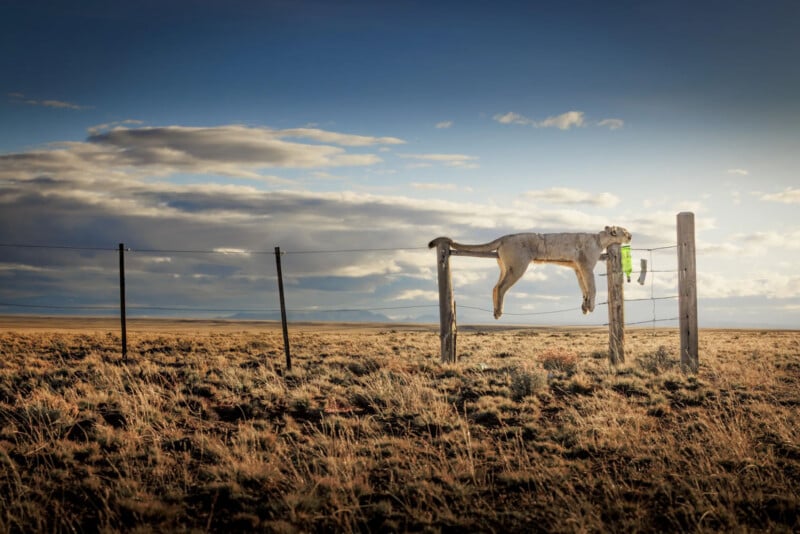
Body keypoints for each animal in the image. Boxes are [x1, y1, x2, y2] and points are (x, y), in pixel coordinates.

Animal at [429, 226, 632, 319]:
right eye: (625, 231)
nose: (631, 235)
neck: (600, 239)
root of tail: (505, 237)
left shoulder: (577, 267)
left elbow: (584, 288)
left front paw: (585, 306)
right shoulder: (586, 266)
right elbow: (592, 287)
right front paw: (591, 306)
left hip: (505, 267)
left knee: (495, 287)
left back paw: (496, 310)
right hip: (518, 267)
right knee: (500, 288)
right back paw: (498, 312)